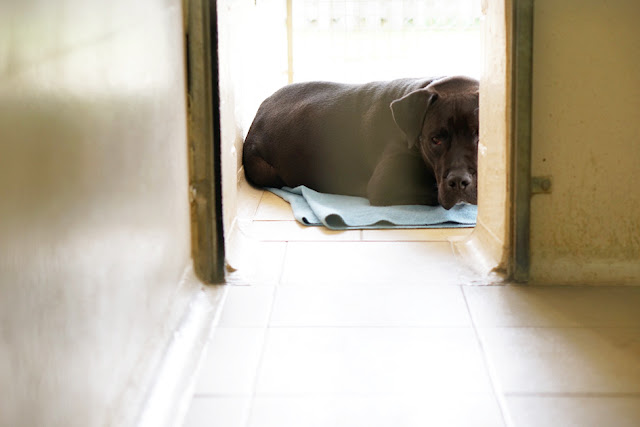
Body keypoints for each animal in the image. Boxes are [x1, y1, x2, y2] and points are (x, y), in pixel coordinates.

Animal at [242, 77, 478, 211]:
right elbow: (433, 193)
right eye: (435, 139)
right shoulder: (388, 183)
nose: (458, 181)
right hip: (264, 170)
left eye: (479, 135)